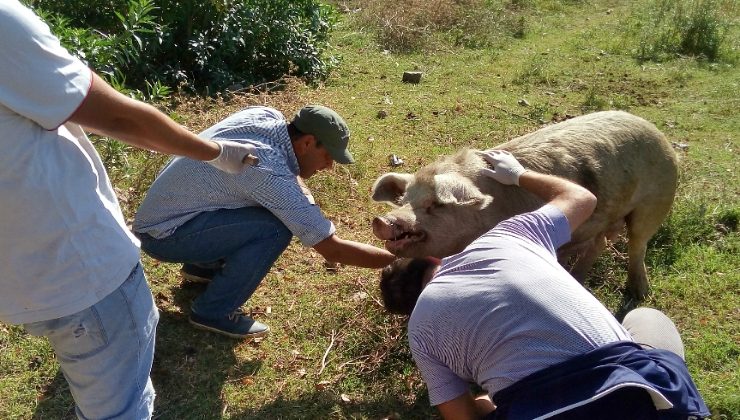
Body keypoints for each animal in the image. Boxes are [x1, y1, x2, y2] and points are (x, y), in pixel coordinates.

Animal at [372, 110, 680, 300]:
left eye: (435, 205)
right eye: (404, 200)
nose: (382, 220)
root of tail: (659, 134)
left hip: (657, 201)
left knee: (638, 244)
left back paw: (639, 293)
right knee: (600, 242)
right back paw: (578, 277)